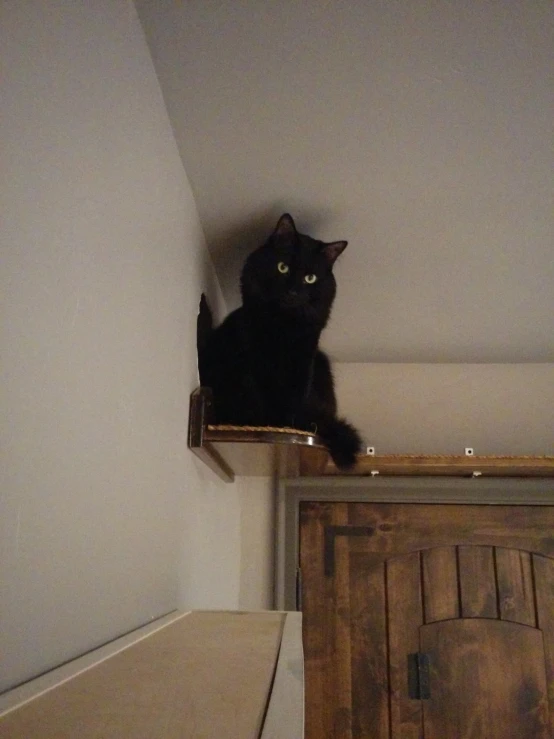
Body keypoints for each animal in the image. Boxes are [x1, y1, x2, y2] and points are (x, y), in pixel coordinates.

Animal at [198, 212, 362, 468]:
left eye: (310, 278)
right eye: (282, 267)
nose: (292, 291)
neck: (283, 327)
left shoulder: (303, 361)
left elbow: (294, 400)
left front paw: (289, 424)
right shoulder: (253, 359)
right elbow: (258, 392)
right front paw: (267, 423)